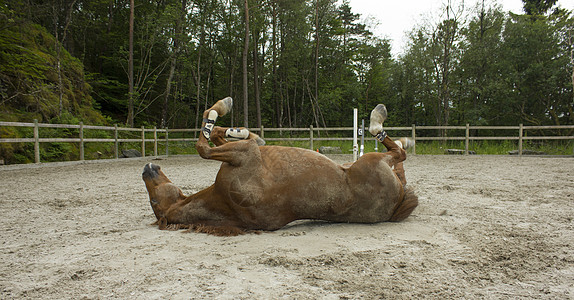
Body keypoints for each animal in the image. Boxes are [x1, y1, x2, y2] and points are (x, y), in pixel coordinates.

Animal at [143, 97, 418, 236]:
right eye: (153, 201)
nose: (147, 169)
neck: (226, 202)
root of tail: (398, 203)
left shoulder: (244, 153)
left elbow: (219, 138)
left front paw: (242, 129)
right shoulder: (245, 155)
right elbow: (204, 147)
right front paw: (225, 111)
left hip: (360, 162)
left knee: (400, 156)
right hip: (372, 161)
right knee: (398, 154)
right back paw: (380, 119)